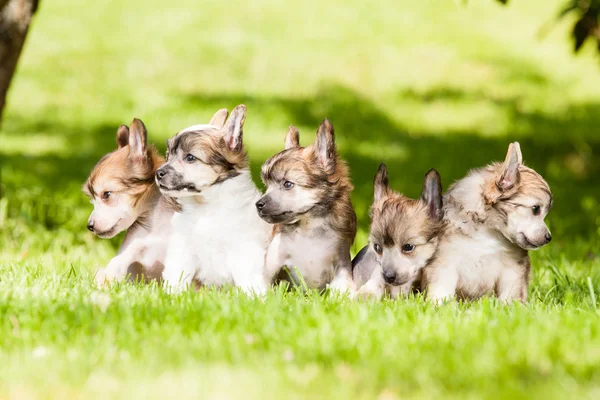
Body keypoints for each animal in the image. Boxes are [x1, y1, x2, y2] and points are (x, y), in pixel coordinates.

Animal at [155, 105, 270, 294]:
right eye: (168, 155)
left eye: (190, 157)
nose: (158, 173)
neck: (206, 207)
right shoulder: (183, 248)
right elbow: (177, 276)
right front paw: (171, 295)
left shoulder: (244, 250)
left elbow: (249, 279)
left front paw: (255, 297)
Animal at [256, 120, 356, 292]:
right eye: (266, 185)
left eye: (288, 184)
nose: (259, 204)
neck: (309, 226)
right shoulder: (273, 261)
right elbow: (262, 284)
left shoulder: (341, 264)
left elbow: (343, 287)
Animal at [422, 142, 552, 302]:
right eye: (535, 209)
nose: (548, 237)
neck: (487, 230)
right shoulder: (445, 263)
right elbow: (441, 290)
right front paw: (439, 304)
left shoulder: (513, 269)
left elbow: (510, 295)